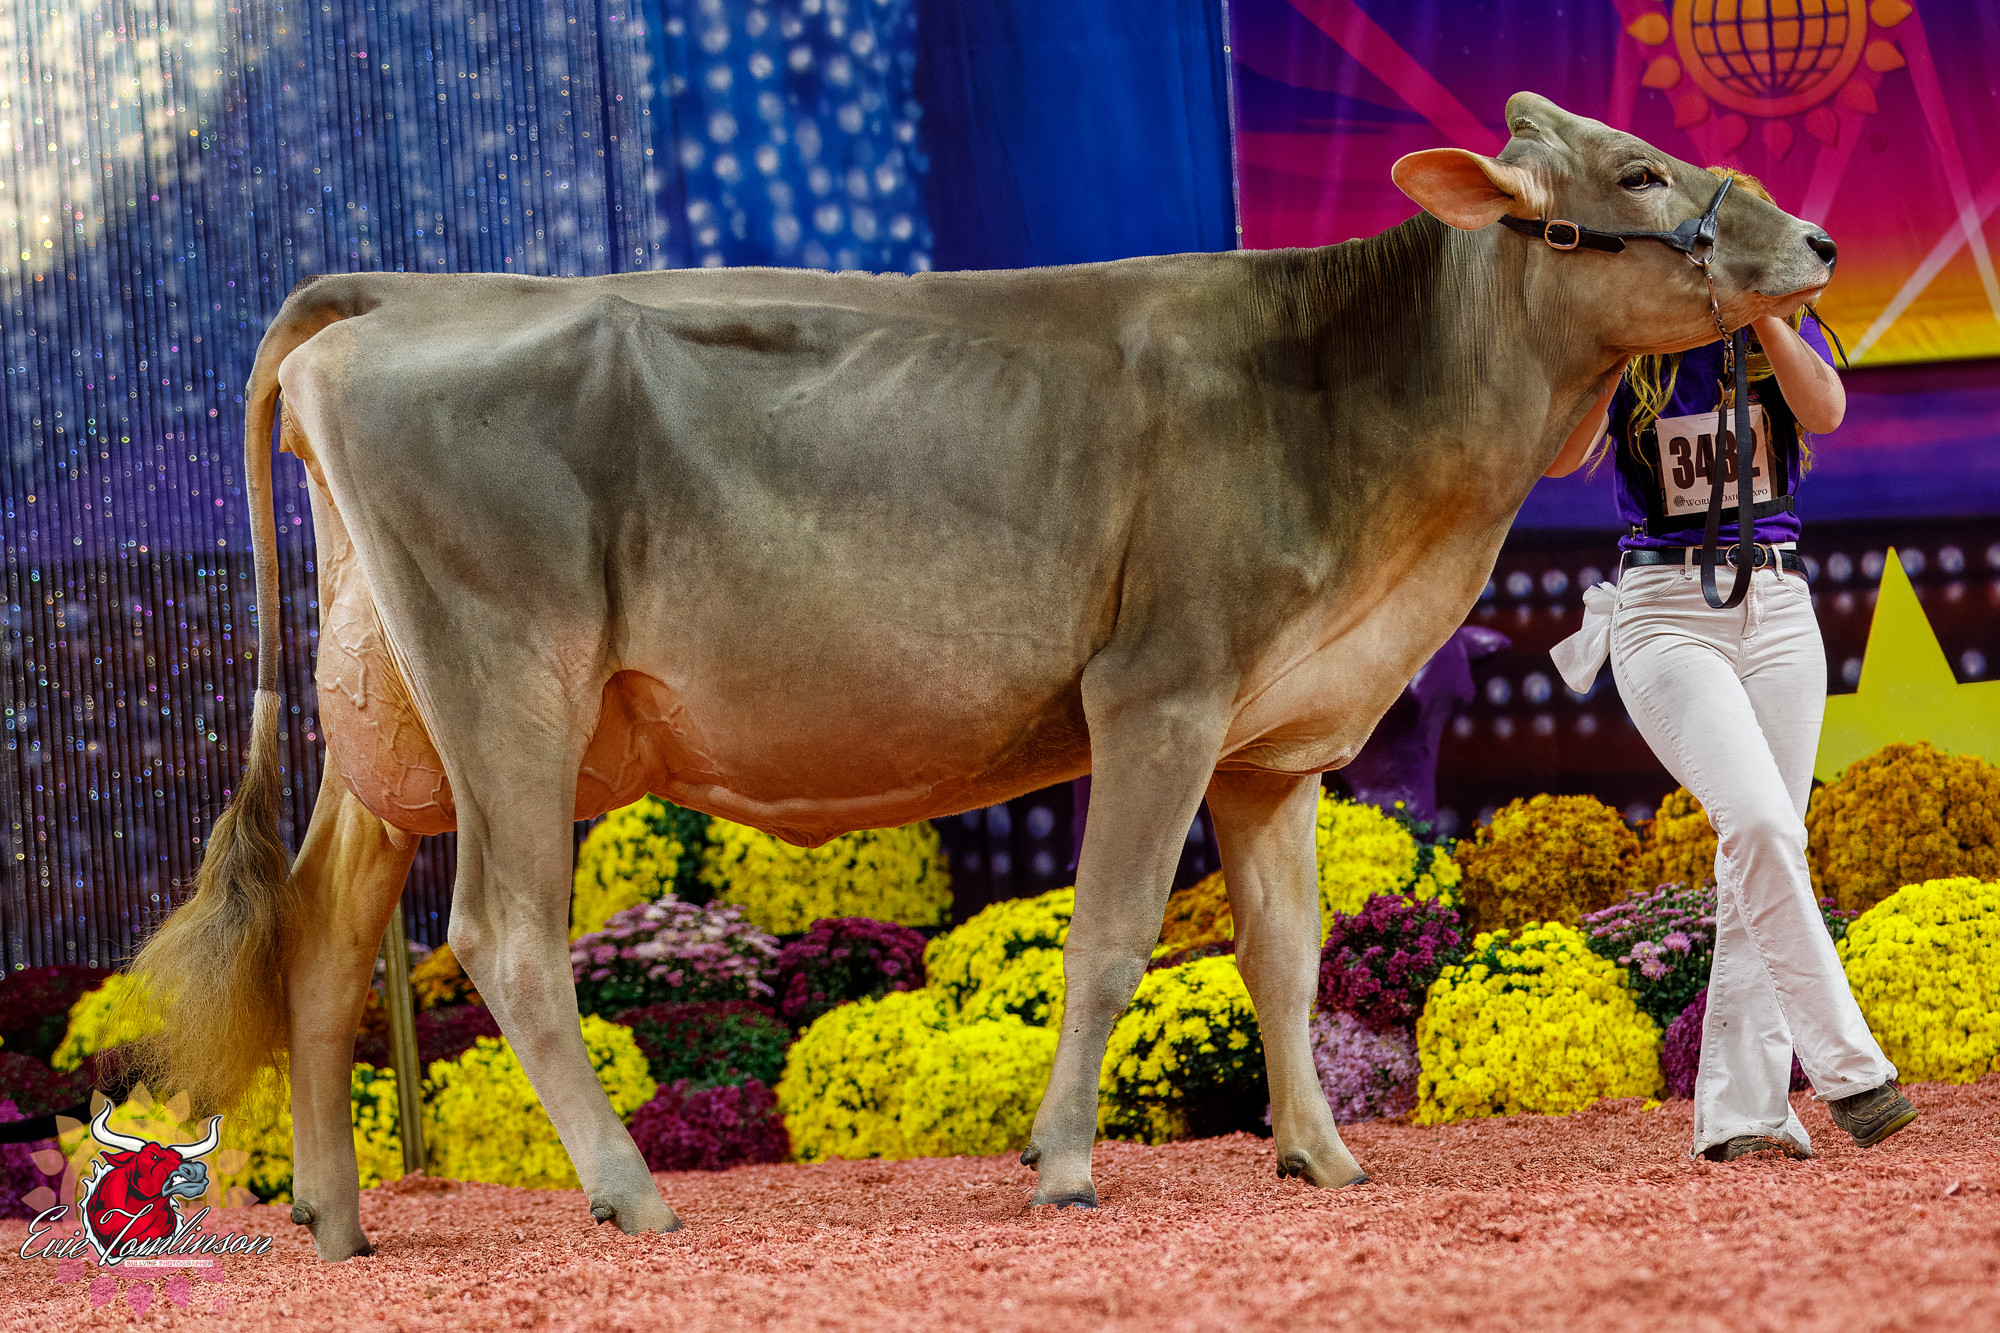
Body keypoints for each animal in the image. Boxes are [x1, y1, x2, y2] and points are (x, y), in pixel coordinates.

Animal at [128, 92, 1837, 1261]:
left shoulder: (1270, 741)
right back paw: (626, 1191)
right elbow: (1113, 939)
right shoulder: (1158, 692)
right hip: (509, 689)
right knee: (498, 930)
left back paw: (337, 1222)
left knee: (323, 937)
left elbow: (1284, 952)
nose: (1815, 241)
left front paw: (1322, 1155)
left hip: (389, 716)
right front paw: (1065, 1161)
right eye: (1639, 175)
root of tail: (407, 292)